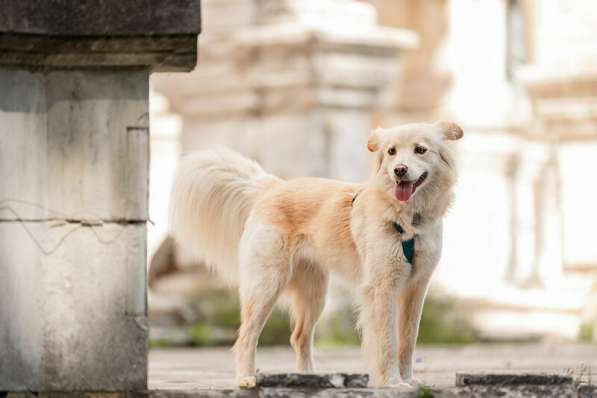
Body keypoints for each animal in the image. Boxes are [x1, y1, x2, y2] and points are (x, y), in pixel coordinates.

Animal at [170, 122, 464, 388]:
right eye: (391, 151)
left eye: (420, 149)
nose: (399, 170)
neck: (409, 220)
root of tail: (272, 188)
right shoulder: (382, 288)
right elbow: (387, 342)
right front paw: (392, 382)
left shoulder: (416, 288)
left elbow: (408, 340)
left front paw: (407, 380)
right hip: (266, 285)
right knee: (246, 338)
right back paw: (246, 379)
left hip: (314, 294)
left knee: (299, 337)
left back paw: (308, 379)